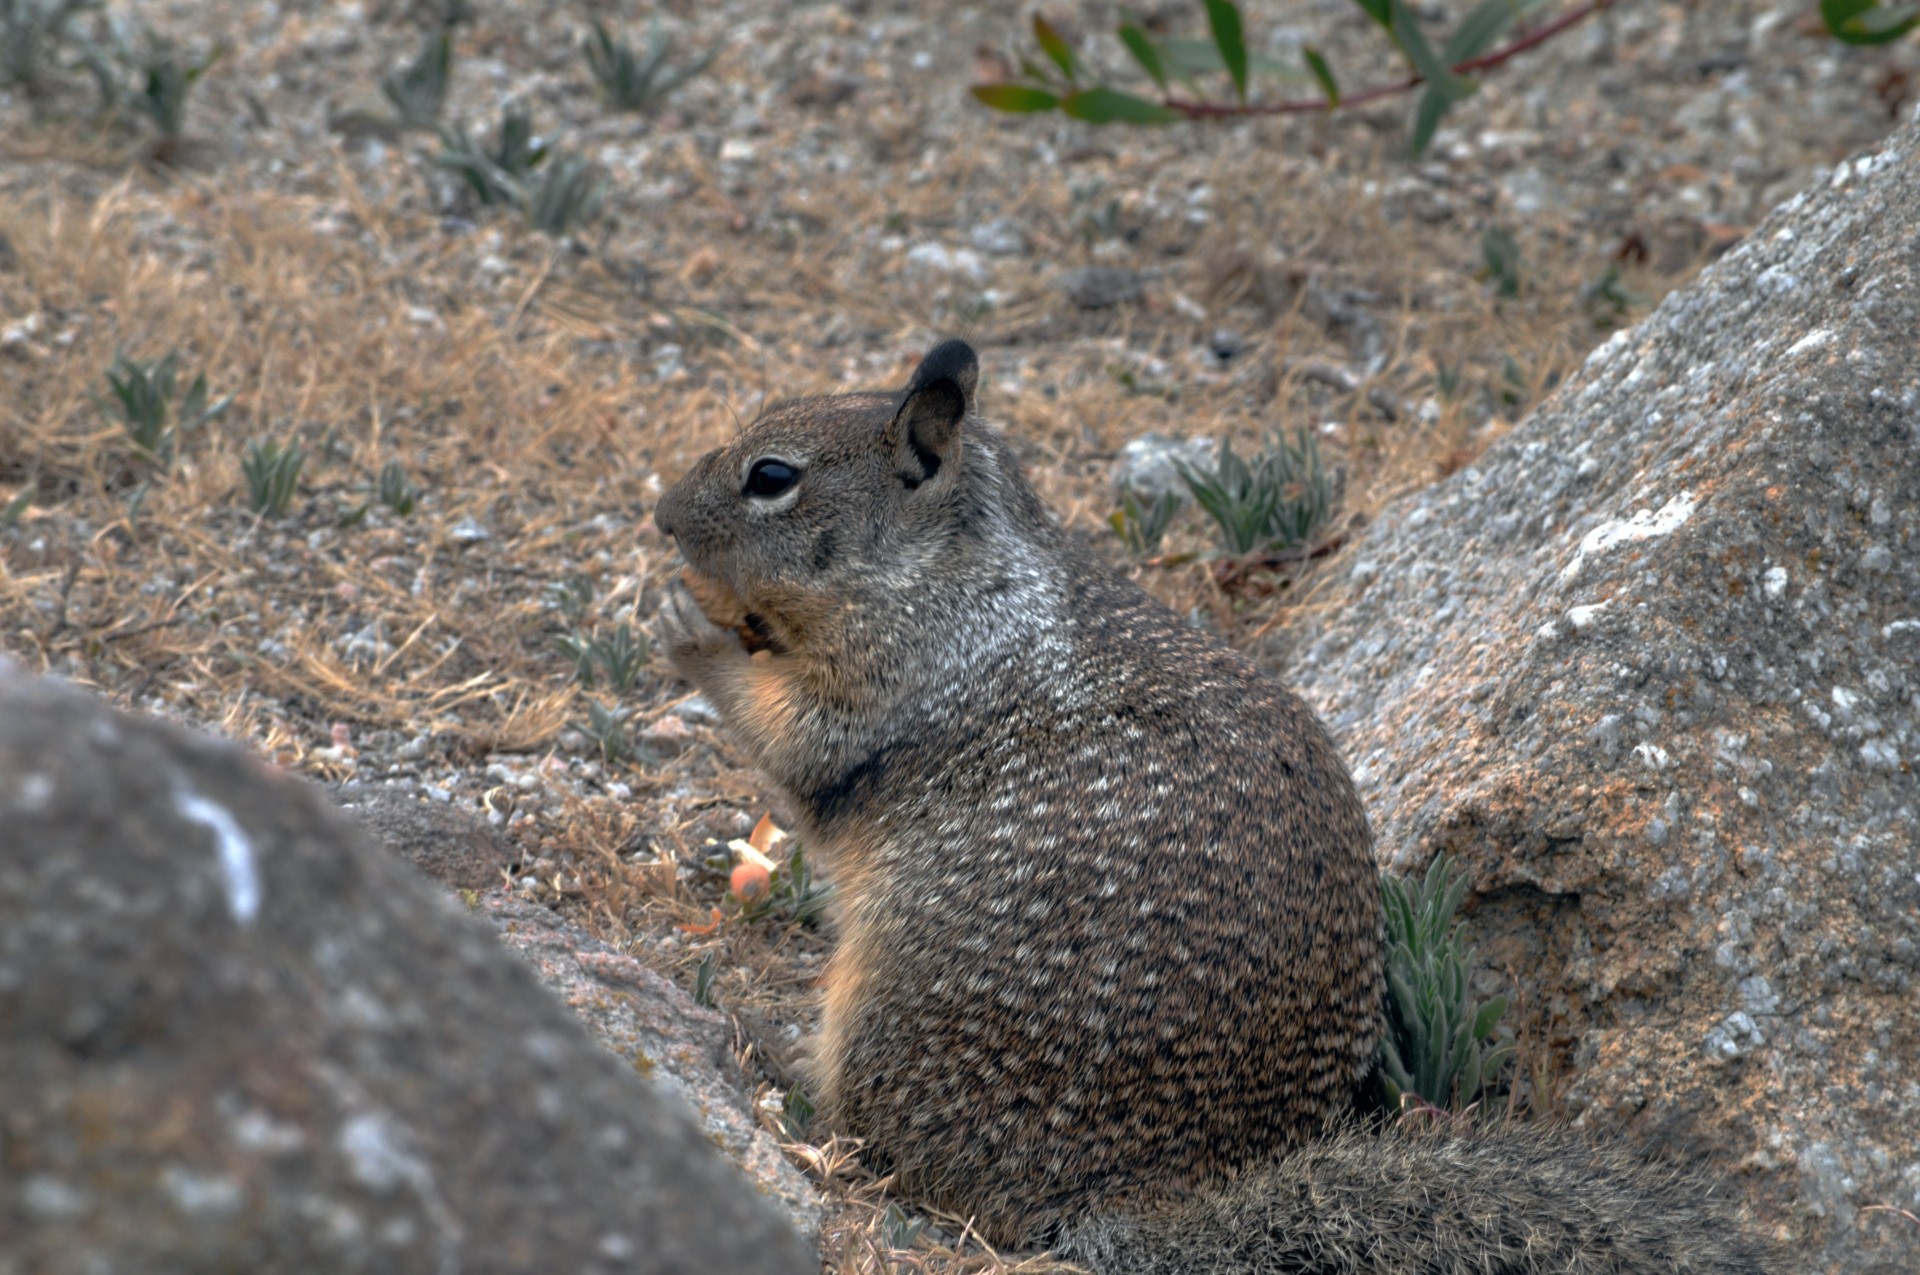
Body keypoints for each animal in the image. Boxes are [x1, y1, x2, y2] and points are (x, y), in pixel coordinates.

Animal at [656, 341, 1766, 1275]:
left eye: (771, 477)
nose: (662, 515)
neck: (948, 567)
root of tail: (1144, 1198)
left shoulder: (891, 679)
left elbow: (794, 738)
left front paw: (686, 621)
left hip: (886, 1022)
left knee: (882, 1145)